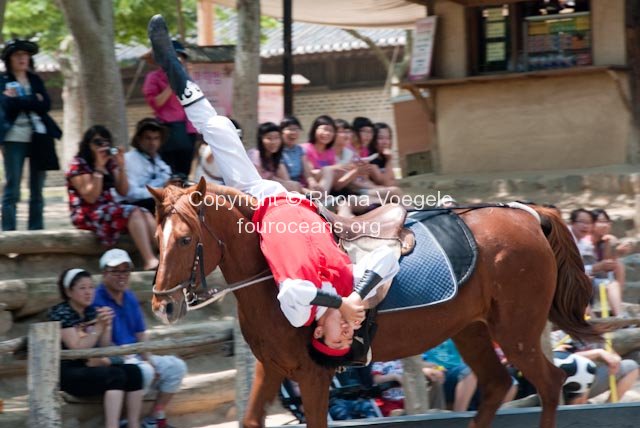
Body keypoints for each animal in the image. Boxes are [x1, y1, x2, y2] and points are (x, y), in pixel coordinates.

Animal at [150, 179, 600, 426]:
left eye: (185, 239)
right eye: (158, 239)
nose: (162, 307)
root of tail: (528, 214)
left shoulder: (313, 375)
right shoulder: (272, 368)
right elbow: (249, 419)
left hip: (516, 332)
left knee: (549, 383)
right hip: (472, 331)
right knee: (497, 385)